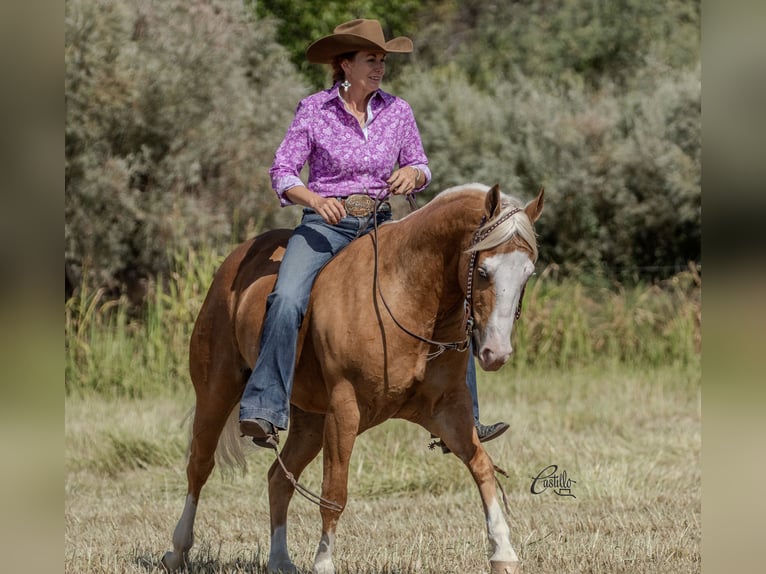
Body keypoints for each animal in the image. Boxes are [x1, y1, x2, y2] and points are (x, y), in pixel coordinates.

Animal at [162, 182, 544, 572]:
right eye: (483, 272)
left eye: (527, 274)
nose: (496, 353)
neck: (405, 291)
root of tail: (233, 264)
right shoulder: (345, 409)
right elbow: (335, 491)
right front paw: (324, 562)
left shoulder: (449, 409)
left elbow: (482, 466)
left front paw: (503, 552)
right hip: (216, 391)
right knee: (200, 465)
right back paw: (177, 550)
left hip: (310, 421)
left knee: (279, 479)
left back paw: (280, 560)